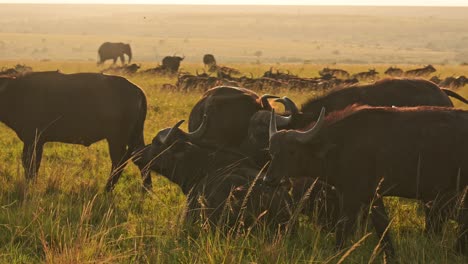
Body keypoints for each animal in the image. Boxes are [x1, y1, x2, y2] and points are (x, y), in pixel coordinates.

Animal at [0, 71, 147, 191]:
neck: (14, 91)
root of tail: (137, 89)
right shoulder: (37, 142)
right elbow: (33, 165)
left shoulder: (32, 140)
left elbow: (29, 164)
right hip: (135, 137)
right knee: (142, 158)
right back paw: (146, 190)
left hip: (116, 140)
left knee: (119, 162)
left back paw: (108, 188)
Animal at [266, 104, 468, 256]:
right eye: (272, 151)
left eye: (292, 151)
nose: (269, 179)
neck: (341, 144)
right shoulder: (373, 197)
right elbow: (382, 227)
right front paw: (390, 255)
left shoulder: (352, 197)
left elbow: (342, 227)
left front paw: (336, 252)